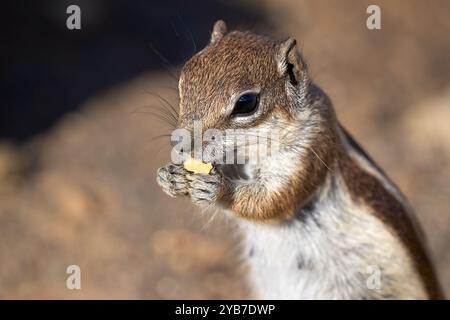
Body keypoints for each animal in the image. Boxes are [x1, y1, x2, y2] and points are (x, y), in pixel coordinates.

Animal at [156, 20, 442, 300]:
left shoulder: (309, 151)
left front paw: (217, 188)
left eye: (246, 103)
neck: (249, 150)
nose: (180, 143)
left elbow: (272, 201)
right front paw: (169, 177)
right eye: (183, 79)